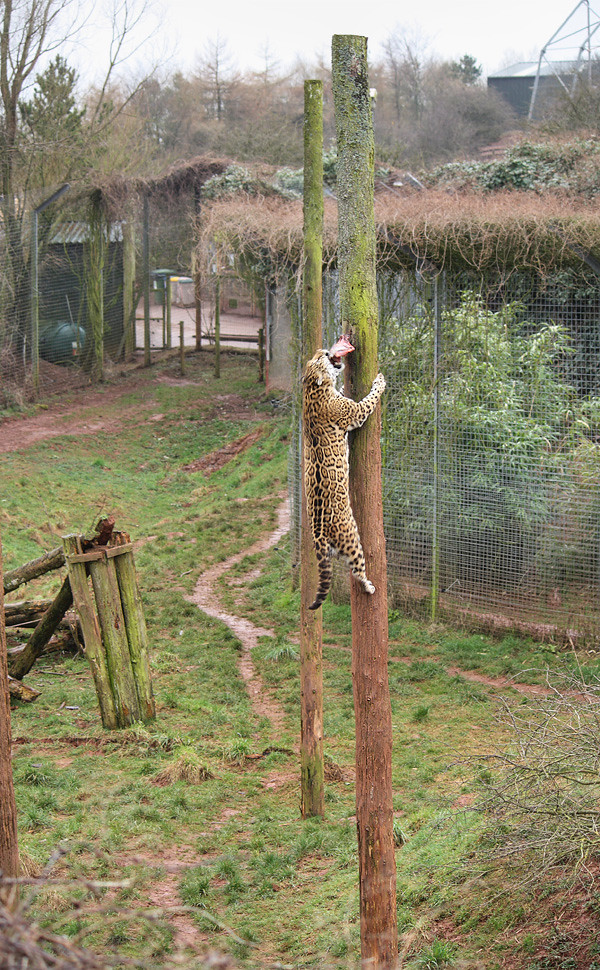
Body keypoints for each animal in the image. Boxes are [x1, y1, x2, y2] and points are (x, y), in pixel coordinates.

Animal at [302, 335, 386, 610]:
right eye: (320, 357)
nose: (325, 350)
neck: (311, 389)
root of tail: (318, 536)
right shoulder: (355, 413)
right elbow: (369, 400)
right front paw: (380, 380)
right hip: (352, 540)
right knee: (357, 569)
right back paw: (369, 586)